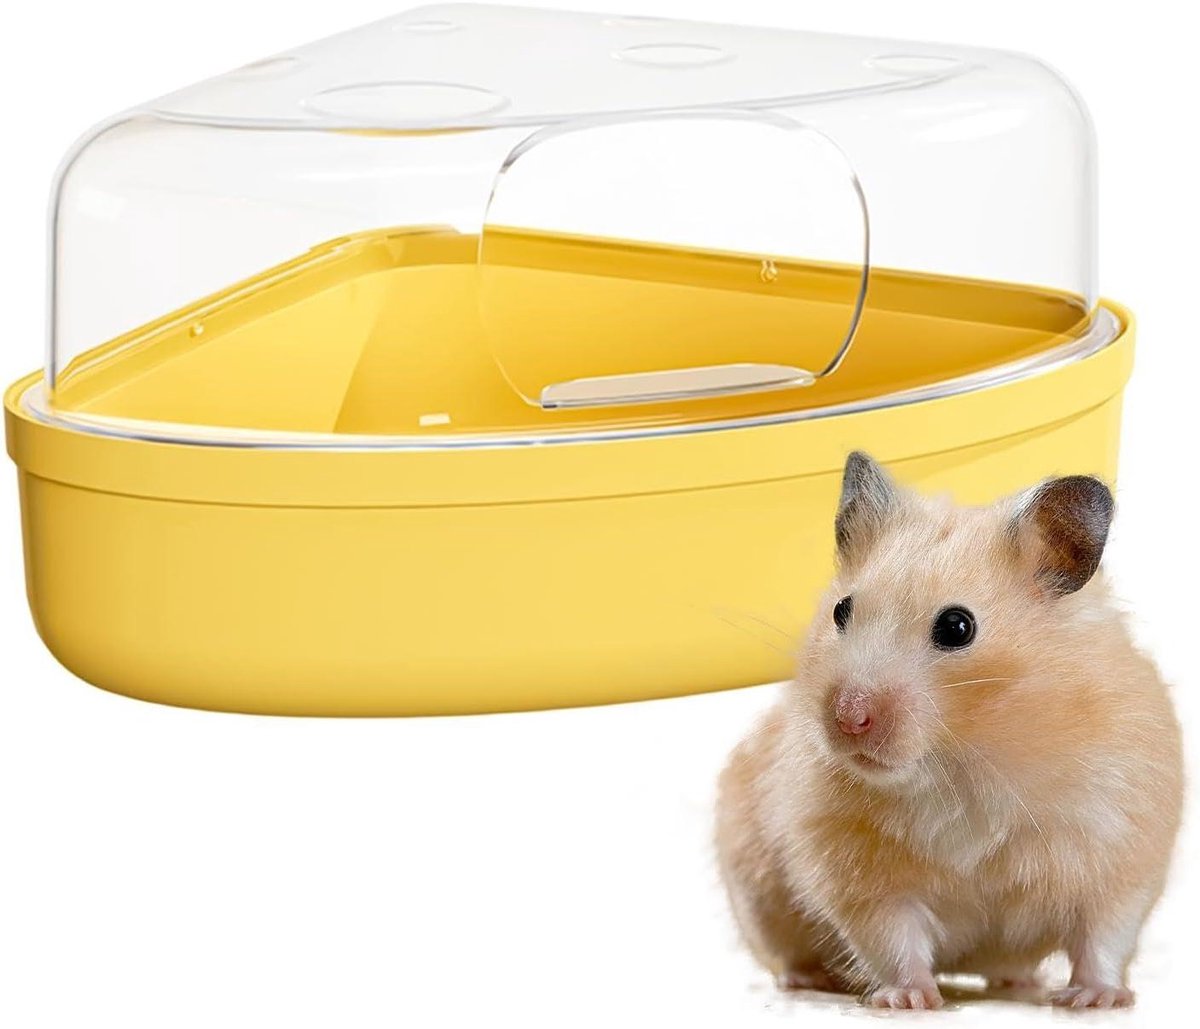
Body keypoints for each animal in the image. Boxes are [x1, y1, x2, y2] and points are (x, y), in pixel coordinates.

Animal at [715, 452, 1183, 1010]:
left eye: (957, 627)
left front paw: (1096, 1000)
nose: (848, 719)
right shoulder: (857, 872)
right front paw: (909, 1001)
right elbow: (892, 937)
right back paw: (808, 980)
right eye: (841, 610)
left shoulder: (1120, 850)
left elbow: (1104, 935)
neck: (963, 759)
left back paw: (1023, 984)